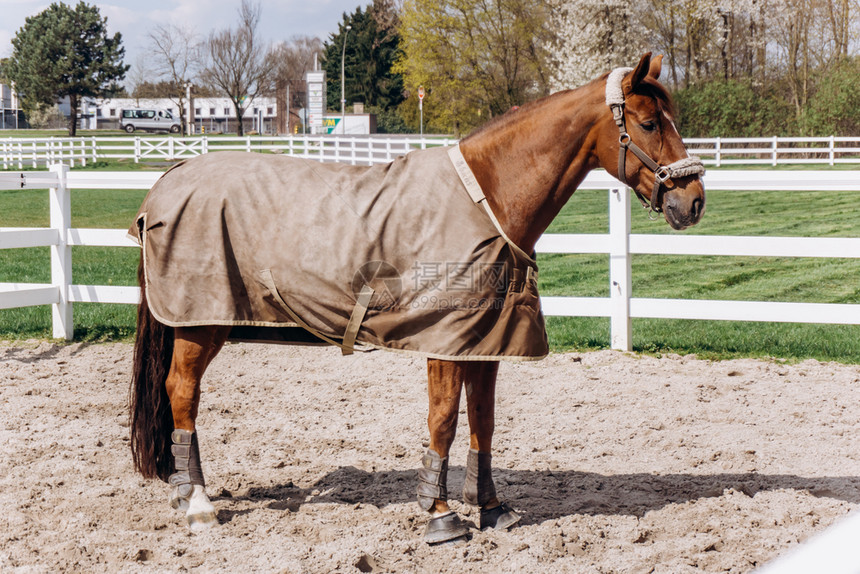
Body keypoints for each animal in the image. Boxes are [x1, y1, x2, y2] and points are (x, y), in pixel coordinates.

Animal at [129, 54, 704, 544]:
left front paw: (491, 508)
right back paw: (198, 504)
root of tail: (167, 180)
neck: (488, 196)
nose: (693, 201)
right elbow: (444, 420)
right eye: (648, 123)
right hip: (201, 324)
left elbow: (483, 422)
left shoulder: (484, 344)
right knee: (182, 392)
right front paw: (441, 516)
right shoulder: (443, 345)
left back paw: (186, 494)